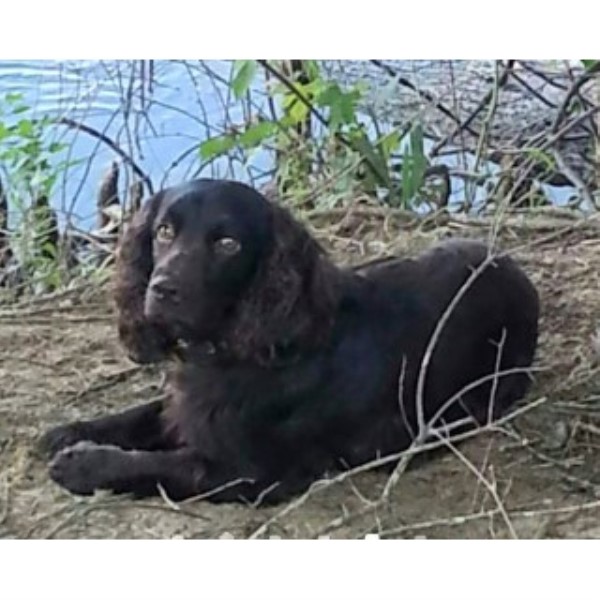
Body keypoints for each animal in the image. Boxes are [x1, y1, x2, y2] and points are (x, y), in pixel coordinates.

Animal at [39, 180, 540, 504]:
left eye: (227, 244)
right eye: (164, 231)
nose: (162, 289)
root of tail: (510, 265)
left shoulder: (250, 474)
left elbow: (161, 465)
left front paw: (85, 465)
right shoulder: (189, 408)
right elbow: (143, 414)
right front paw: (72, 431)